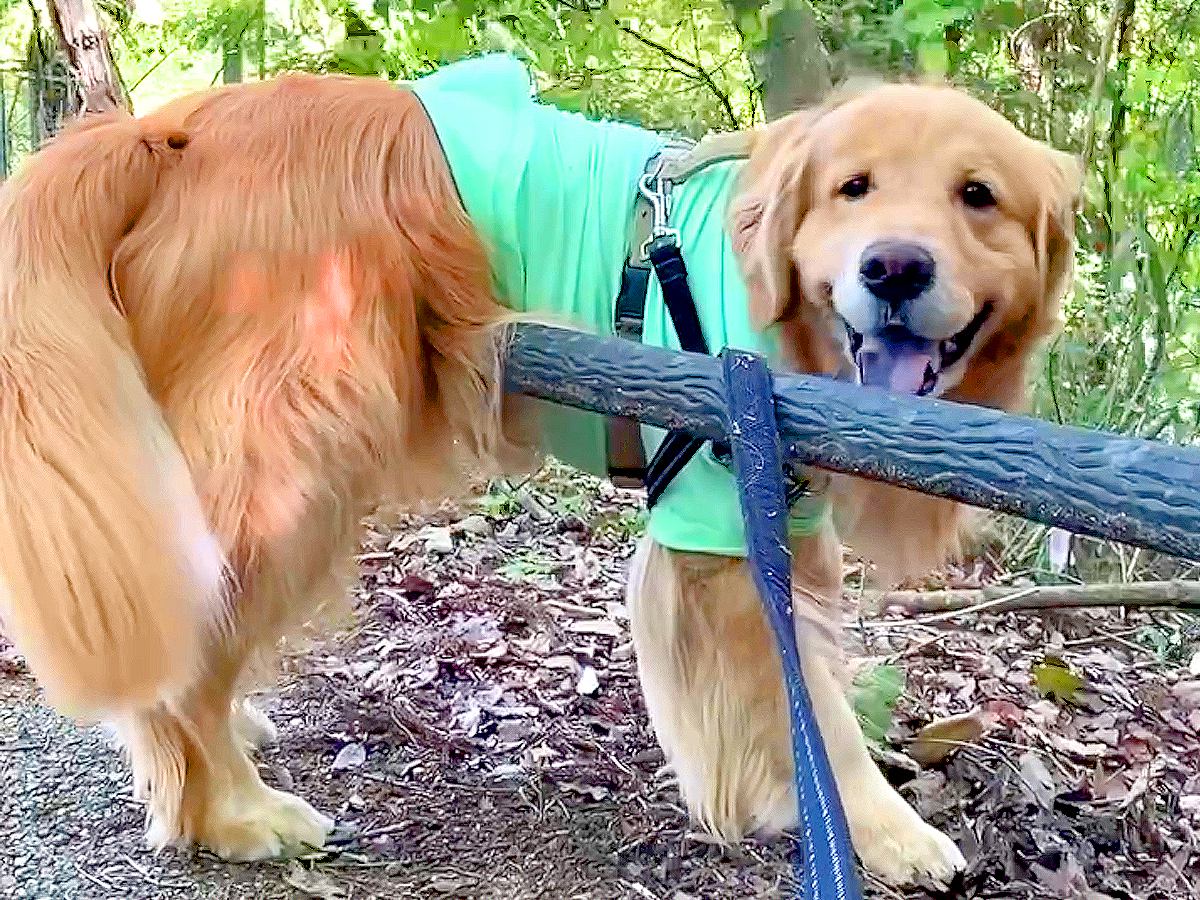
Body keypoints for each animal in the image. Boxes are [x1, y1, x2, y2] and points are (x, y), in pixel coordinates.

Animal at [0, 52, 1080, 892]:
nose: (894, 268)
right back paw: (229, 812)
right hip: (296, 462)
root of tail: (166, 128)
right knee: (189, 661)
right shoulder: (726, 518)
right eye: (852, 188)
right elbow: (813, 701)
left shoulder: (782, 516)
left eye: (978, 198)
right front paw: (883, 830)